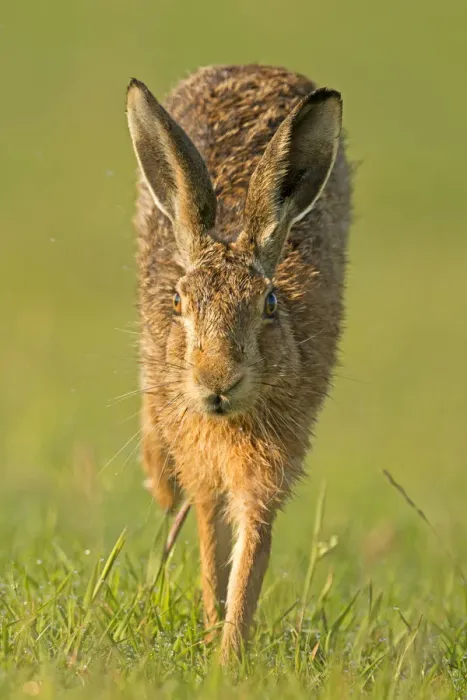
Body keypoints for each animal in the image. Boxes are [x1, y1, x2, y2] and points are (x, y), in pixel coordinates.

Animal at [126, 64, 351, 662]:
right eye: (177, 303)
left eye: (269, 304)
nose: (216, 380)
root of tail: (255, 66)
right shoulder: (201, 461)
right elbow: (211, 544)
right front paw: (213, 638)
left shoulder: (269, 469)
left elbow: (251, 550)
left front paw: (229, 655)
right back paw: (158, 480)